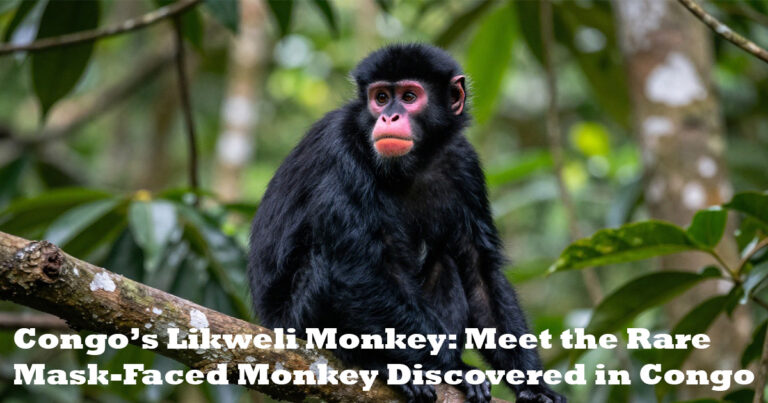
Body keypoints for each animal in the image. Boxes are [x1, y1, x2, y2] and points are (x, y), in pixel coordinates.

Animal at [249, 43, 565, 403]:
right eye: (381, 97)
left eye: (410, 96)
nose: (389, 116)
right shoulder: (342, 152)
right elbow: (361, 272)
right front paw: (456, 369)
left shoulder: (464, 161)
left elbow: (479, 268)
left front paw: (533, 385)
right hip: (298, 320)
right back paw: (383, 364)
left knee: (445, 263)